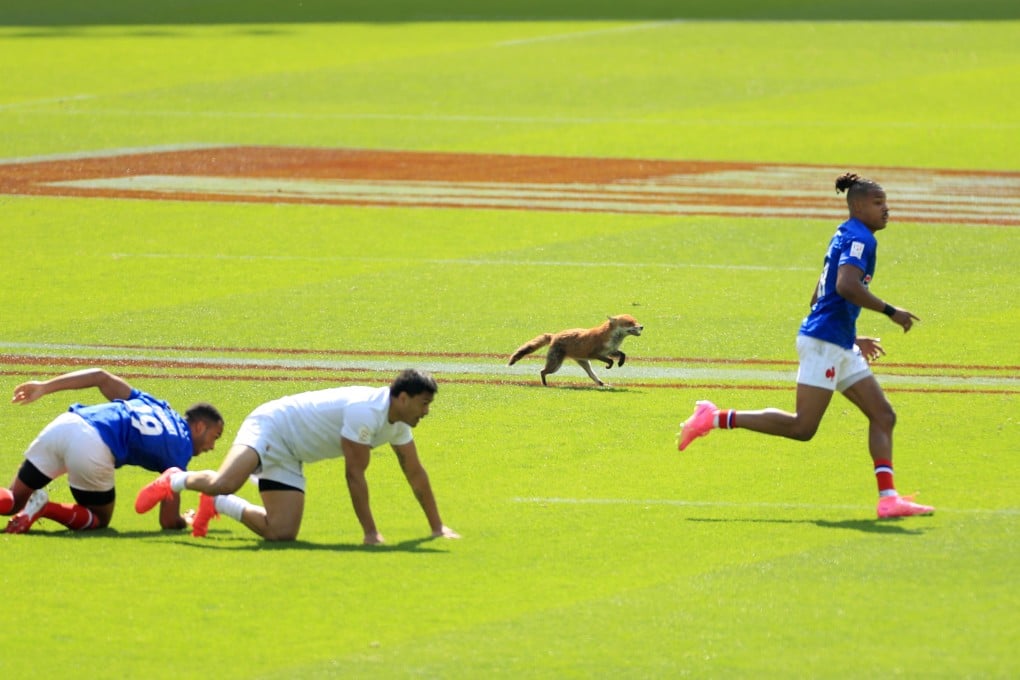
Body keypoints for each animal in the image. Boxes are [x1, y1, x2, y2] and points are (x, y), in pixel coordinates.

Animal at [508, 314, 644, 387]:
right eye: (629, 323)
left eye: (635, 321)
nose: (642, 326)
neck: (612, 338)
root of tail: (554, 335)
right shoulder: (595, 354)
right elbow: (610, 360)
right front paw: (610, 365)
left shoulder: (611, 350)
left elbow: (623, 354)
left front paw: (620, 363)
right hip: (555, 365)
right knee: (542, 371)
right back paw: (545, 384)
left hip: (584, 363)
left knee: (592, 376)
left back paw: (602, 384)